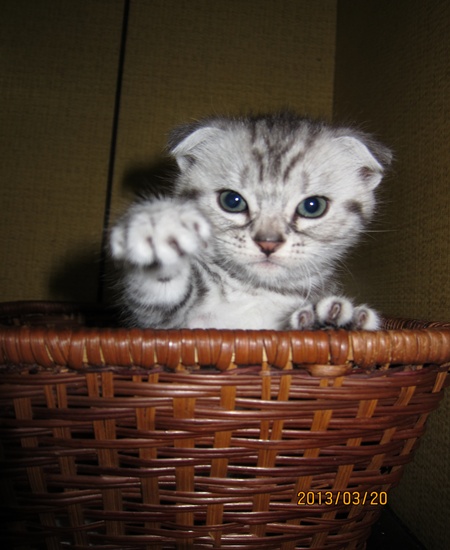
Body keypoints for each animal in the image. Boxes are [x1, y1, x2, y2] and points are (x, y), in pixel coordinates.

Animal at [109, 112, 391, 330]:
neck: (257, 291)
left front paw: (330, 322)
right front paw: (160, 233)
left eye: (312, 206)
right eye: (232, 201)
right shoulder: (161, 326)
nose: (268, 242)